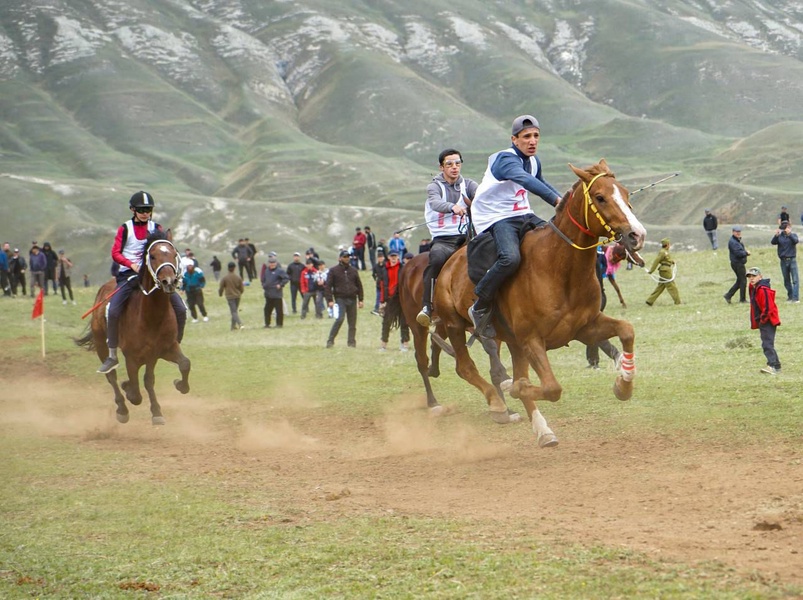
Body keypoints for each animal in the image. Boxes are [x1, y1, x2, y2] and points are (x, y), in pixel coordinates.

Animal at [77, 231, 192, 426]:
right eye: (152, 256)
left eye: (174, 254)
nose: (168, 282)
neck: (151, 316)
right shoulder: (131, 356)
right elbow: (137, 393)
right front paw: (130, 392)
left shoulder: (163, 350)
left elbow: (181, 365)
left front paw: (173, 392)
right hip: (101, 345)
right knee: (111, 376)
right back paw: (122, 408)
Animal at [398, 253, 520, 422]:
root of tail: (408, 267)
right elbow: (491, 353)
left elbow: (493, 365)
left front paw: (506, 408)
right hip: (417, 325)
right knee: (421, 360)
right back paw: (433, 402)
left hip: (443, 324)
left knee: (435, 343)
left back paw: (434, 370)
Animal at [434, 159, 648, 446]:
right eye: (600, 197)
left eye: (625, 193)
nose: (637, 235)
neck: (559, 269)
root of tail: (449, 264)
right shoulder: (532, 339)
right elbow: (551, 388)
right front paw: (514, 388)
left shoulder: (584, 327)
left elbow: (626, 330)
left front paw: (623, 384)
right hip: (455, 325)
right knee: (465, 368)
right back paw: (499, 405)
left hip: (511, 341)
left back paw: (542, 429)